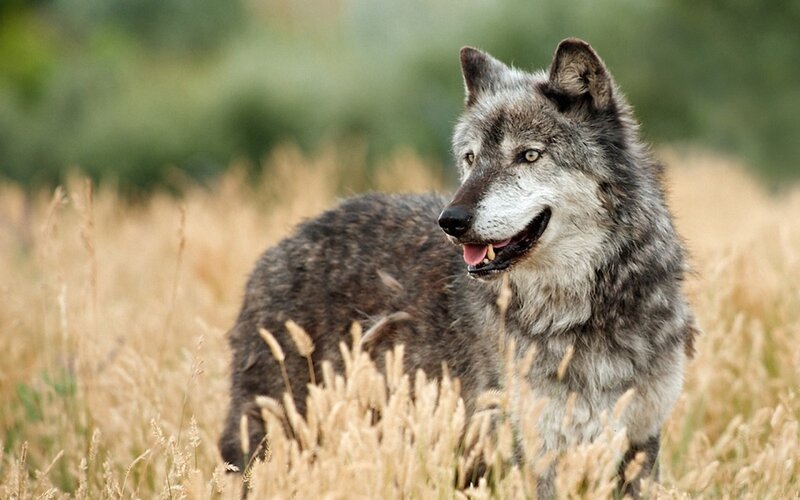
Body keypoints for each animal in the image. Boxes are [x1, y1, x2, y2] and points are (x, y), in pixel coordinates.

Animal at [219, 38, 697, 497]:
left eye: (529, 155)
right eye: (470, 158)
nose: (451, 220)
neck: (582, 313)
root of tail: (279, 247)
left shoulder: (638, 445)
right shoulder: (531, 454)